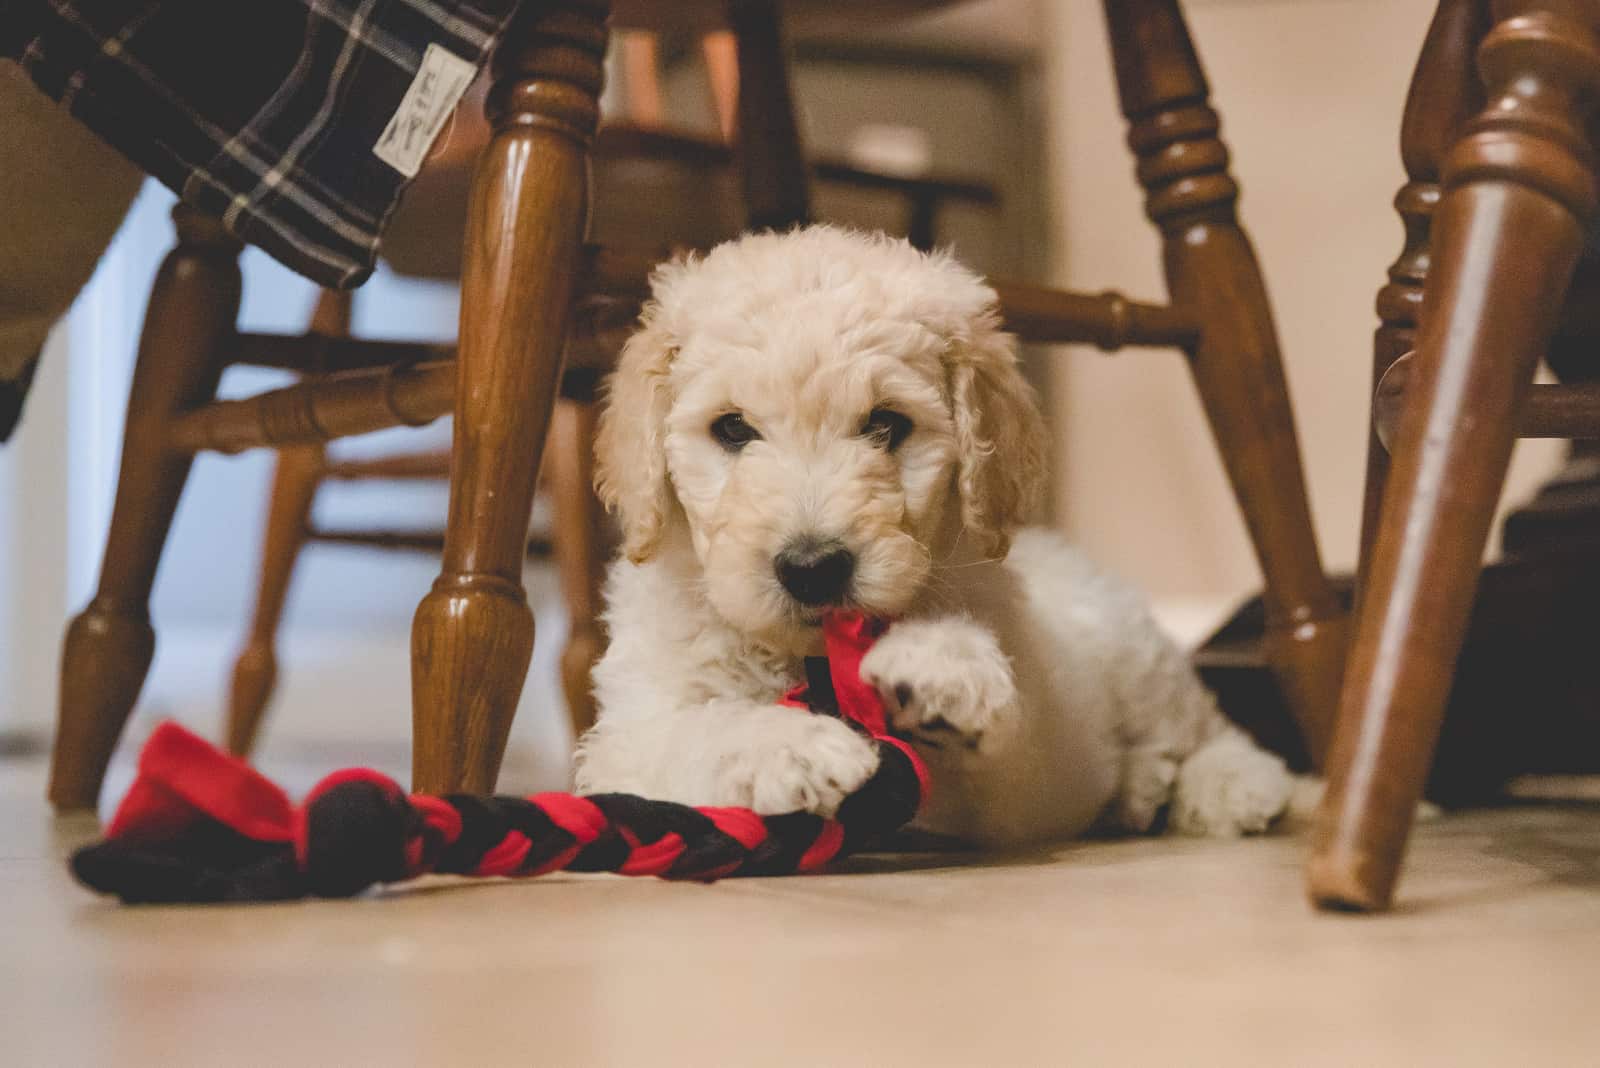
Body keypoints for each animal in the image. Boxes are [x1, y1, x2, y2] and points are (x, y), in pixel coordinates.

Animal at [569, 230, 1292, 844]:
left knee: (1203, 725)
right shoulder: (623, 740)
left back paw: (1235, 785)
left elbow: (1016, 741)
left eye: (886, 424)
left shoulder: (1025, 779)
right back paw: (1143, 788)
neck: (807, 658)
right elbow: (688, 732)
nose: (812, 567)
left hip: (1140, 665)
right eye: (732, 429)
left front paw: (943, 667)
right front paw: (787, 746)